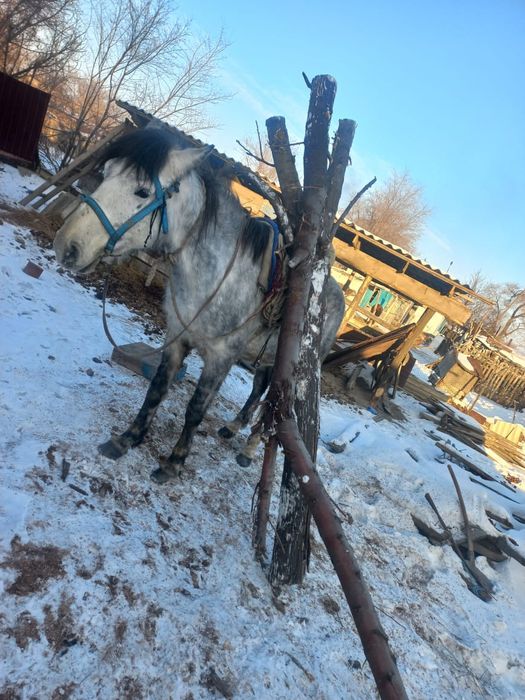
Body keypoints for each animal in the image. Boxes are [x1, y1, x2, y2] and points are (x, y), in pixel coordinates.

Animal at [53, 128, 345, 484]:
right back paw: (233, 427)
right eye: (106, 173)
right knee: (258, 390)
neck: (216, 274)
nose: (66, 246)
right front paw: (127, 439)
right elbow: (157, 388)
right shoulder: (176, 339)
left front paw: (173, 463)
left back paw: (249, 449)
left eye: (142, 191)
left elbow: (195, 409)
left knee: (275, 404)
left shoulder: (221, 358)